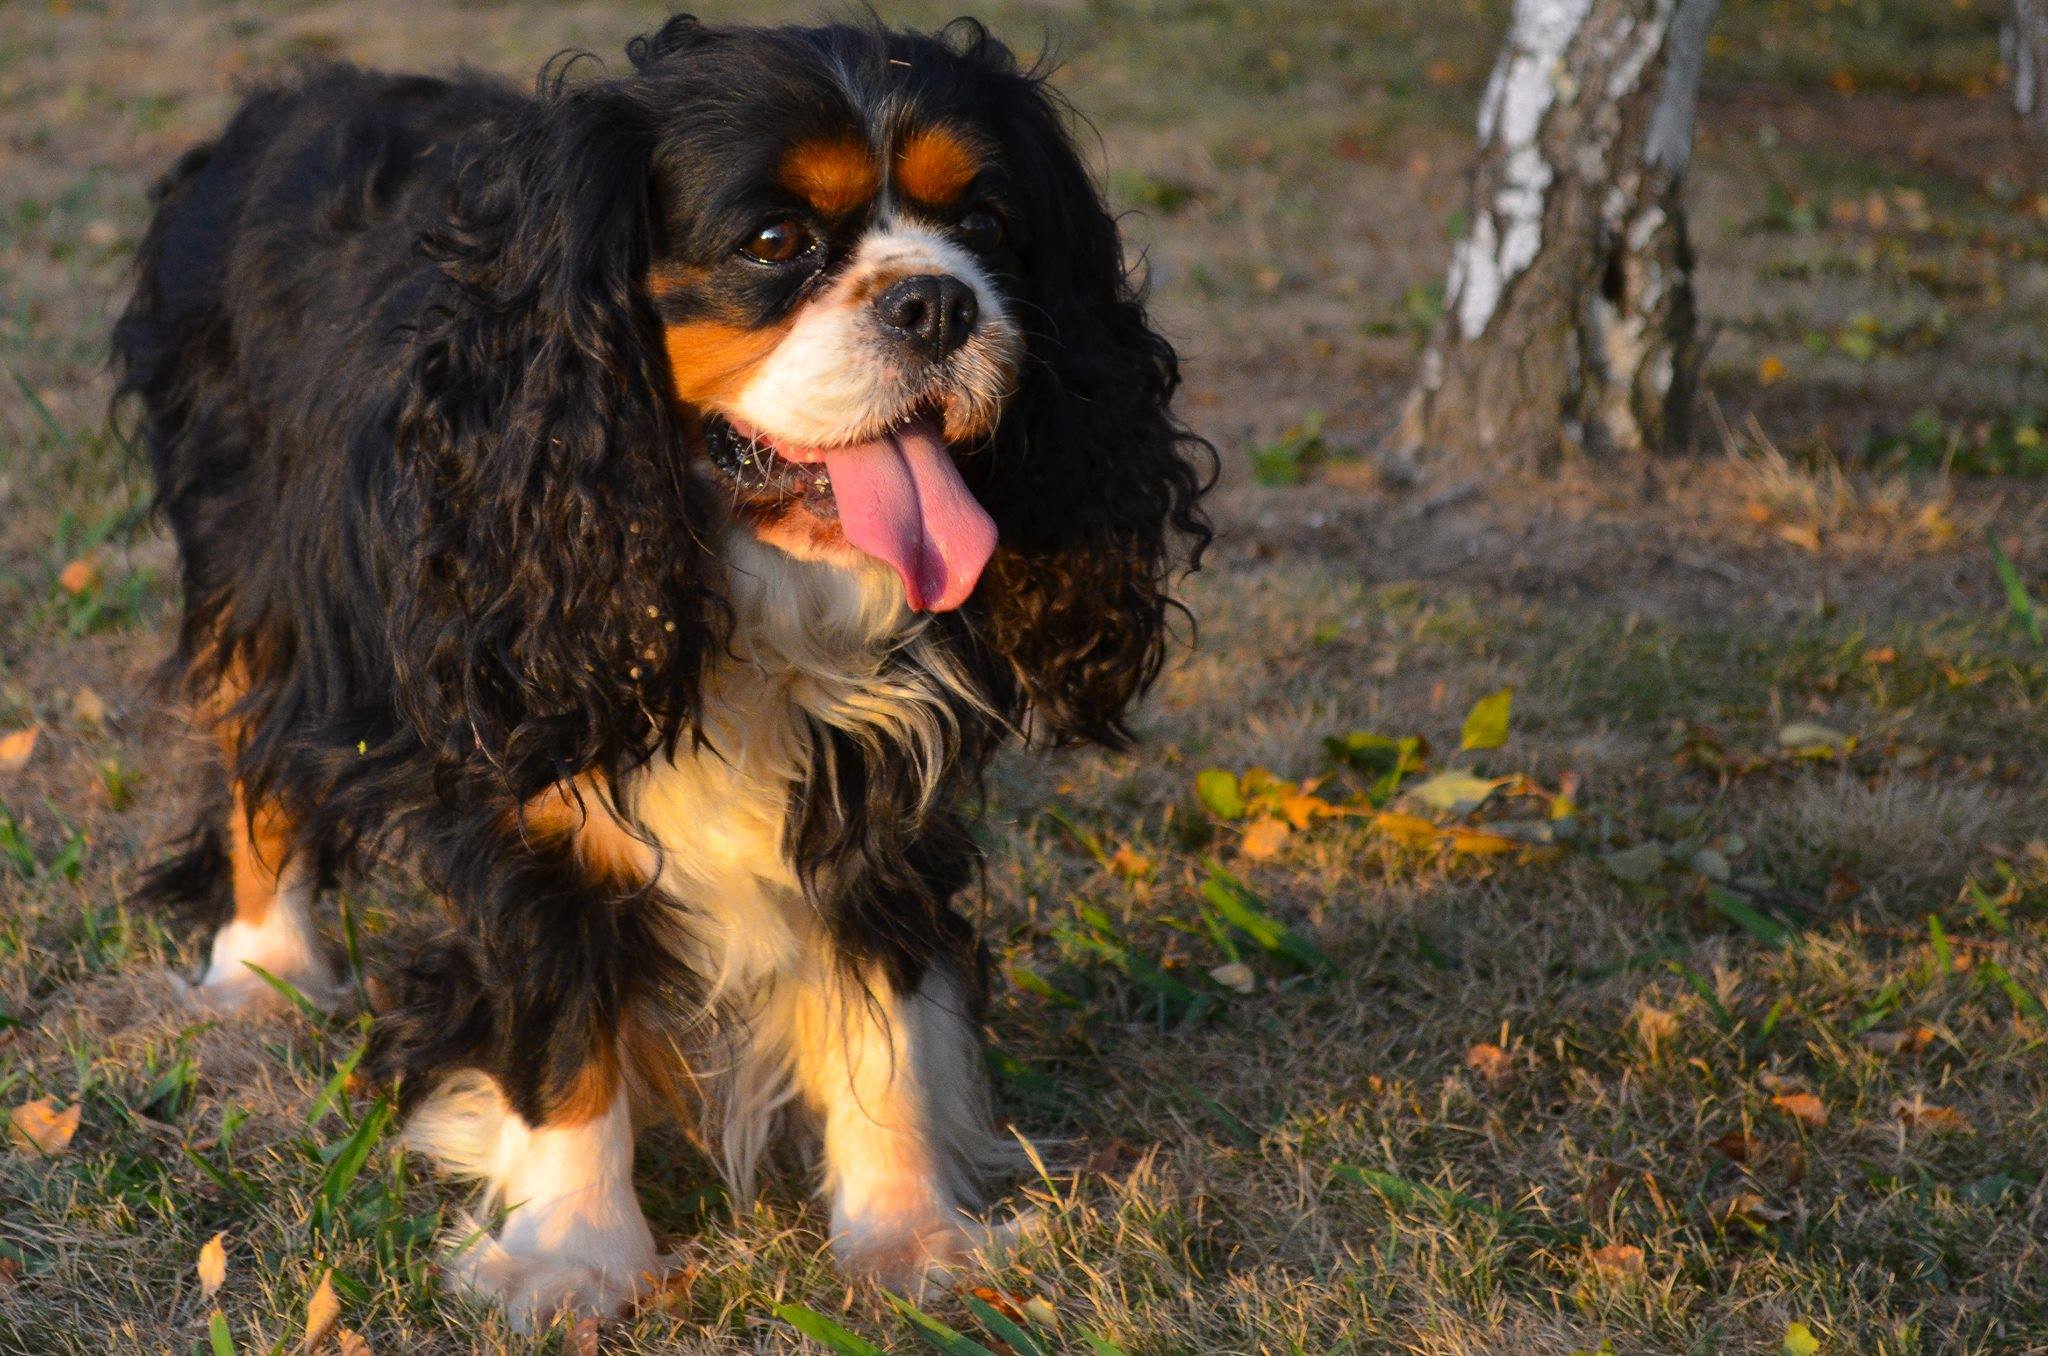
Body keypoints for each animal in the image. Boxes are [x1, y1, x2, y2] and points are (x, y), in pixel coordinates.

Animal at [112, 10, 1204, 1327]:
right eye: (775, 242)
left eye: (987, 225)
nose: (937, 302)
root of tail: (289, 99)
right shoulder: (527, 790)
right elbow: (563, 1028)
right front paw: (574, 1256)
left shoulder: (872, 793)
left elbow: (882, 1021)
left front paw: (908, 1240)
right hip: (257, 570)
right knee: (254, 752)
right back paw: (262, 966)